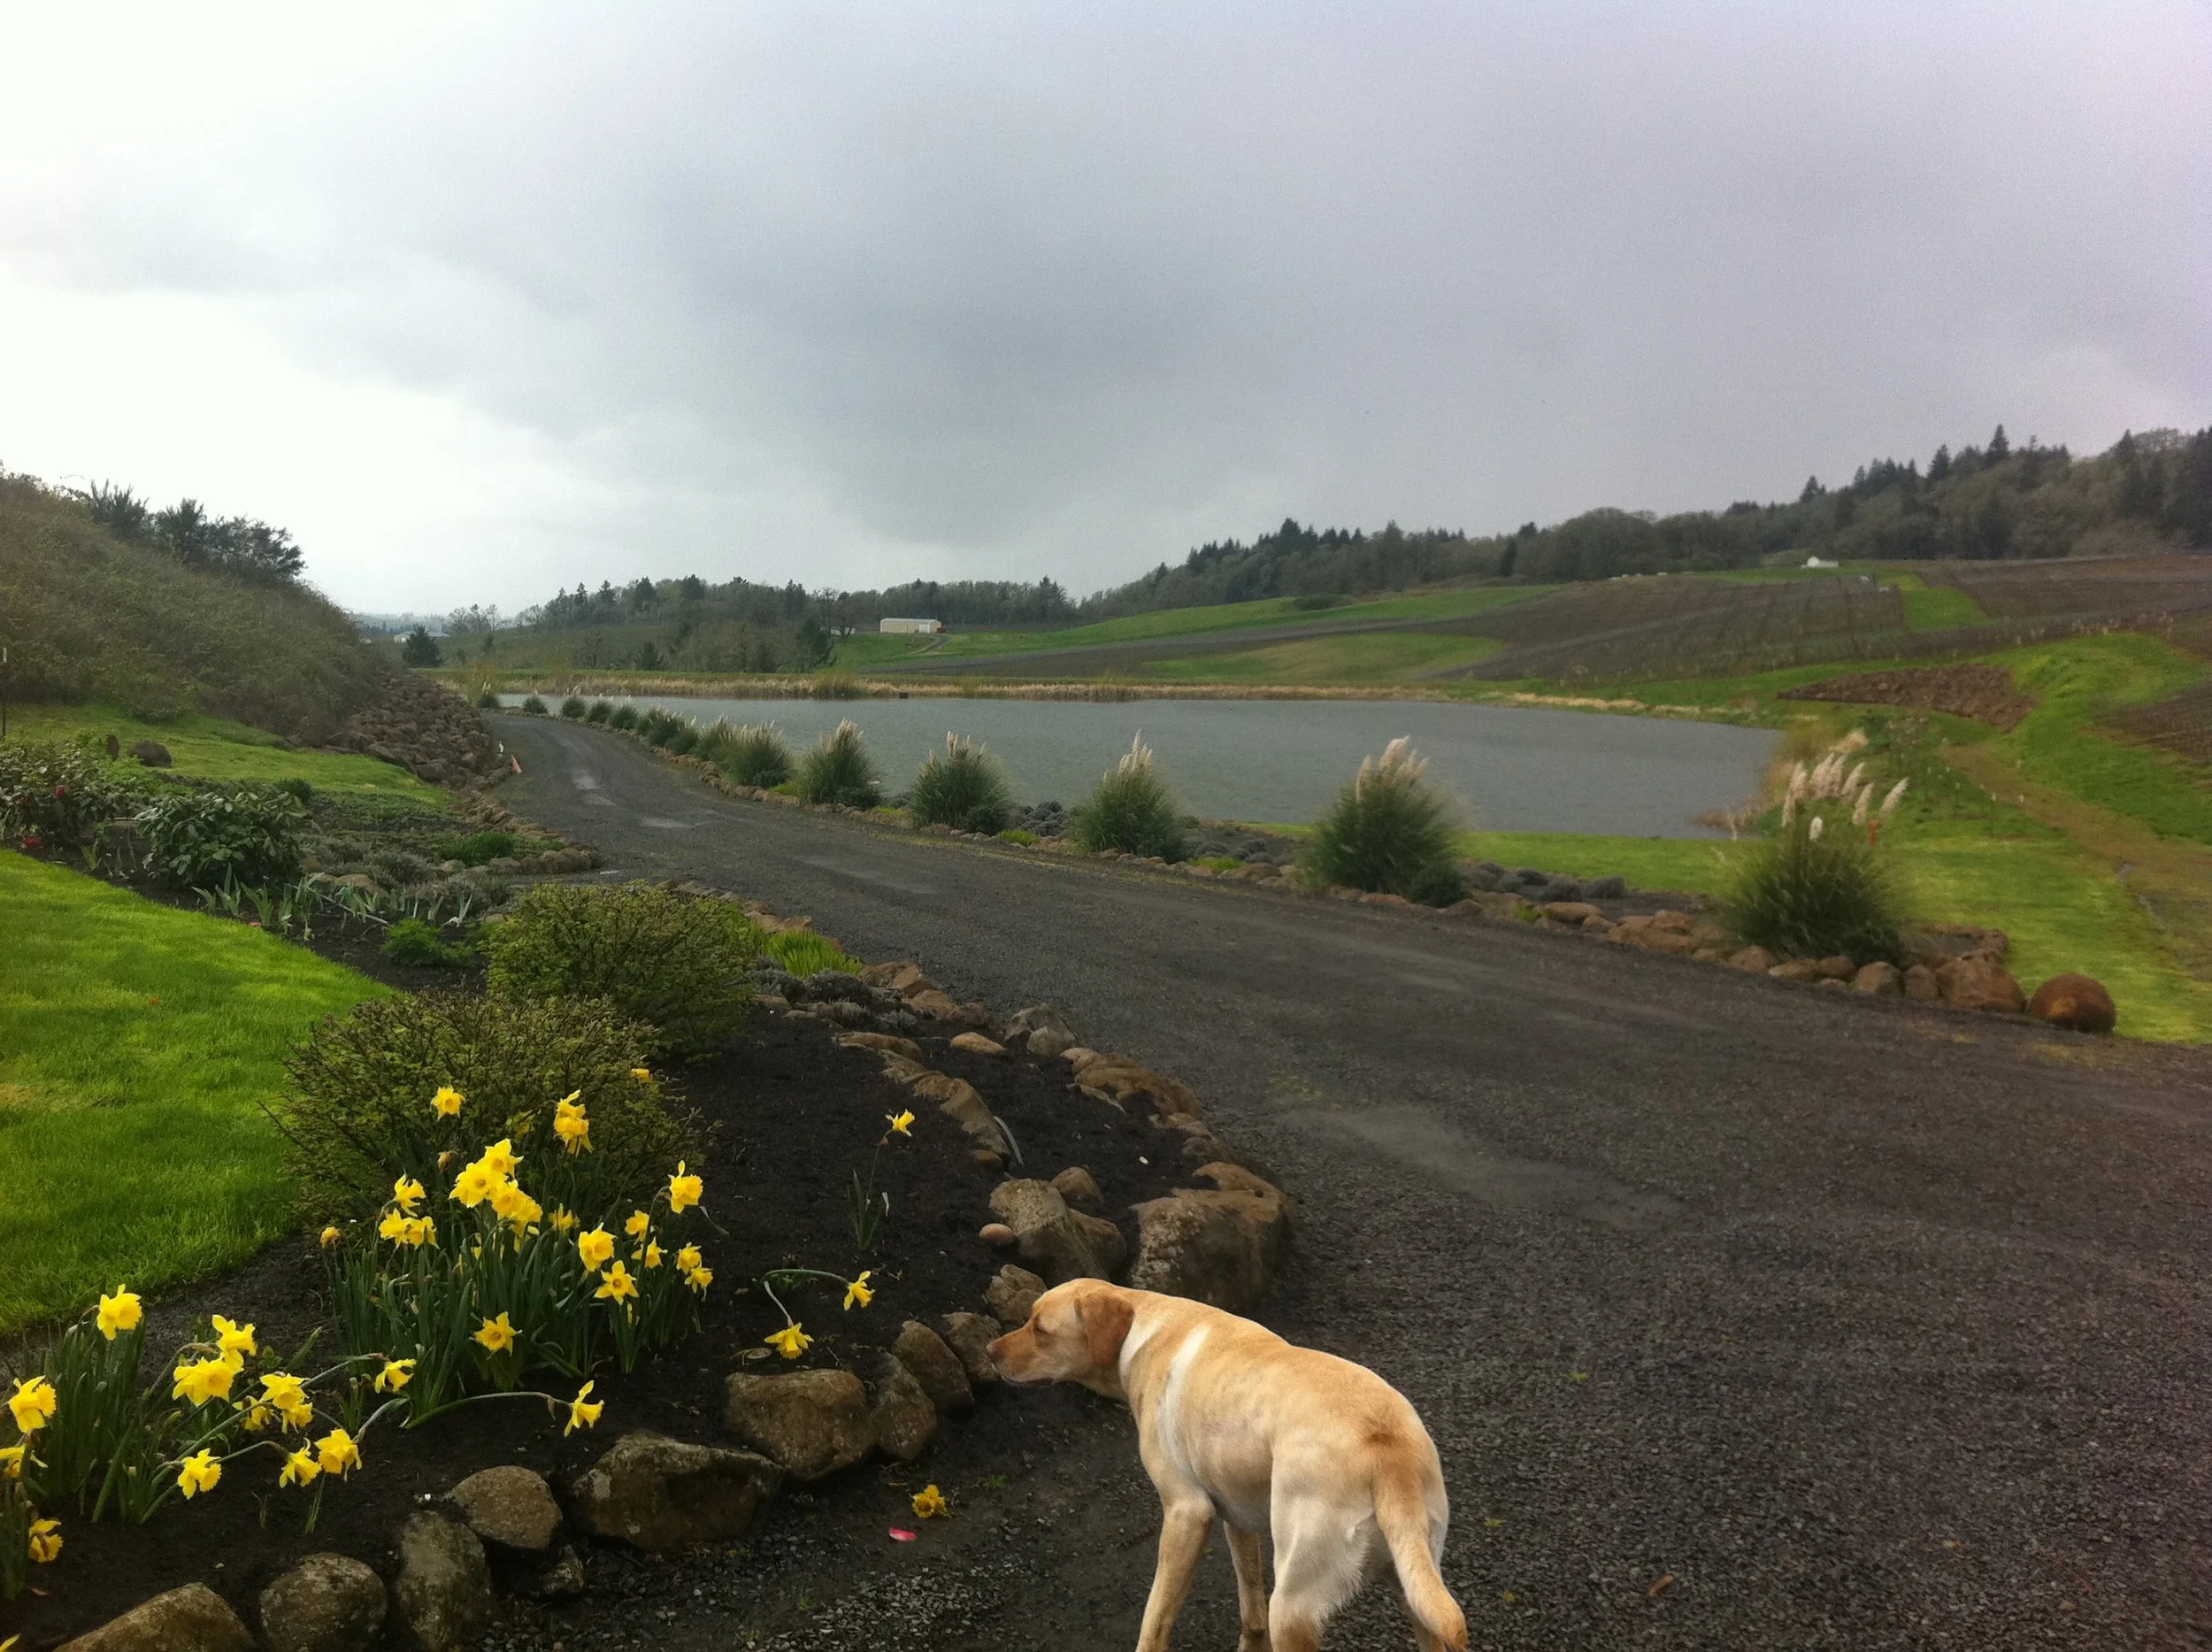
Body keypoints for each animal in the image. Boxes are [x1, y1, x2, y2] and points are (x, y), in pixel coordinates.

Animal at [989, 1280, 1467, 1652]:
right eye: (1028, 1319)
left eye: (1040, 1328)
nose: (990, 1351)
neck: (1142, 1327)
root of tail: (1384, 1444)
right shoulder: (1236, 1516)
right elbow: (1248, 1602)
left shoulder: (1187, 1514)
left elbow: (1154, 1620)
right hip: (1417, 1589)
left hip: (1292, 1606)